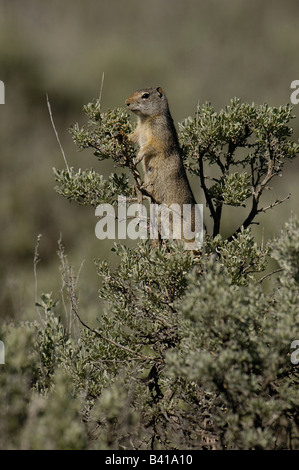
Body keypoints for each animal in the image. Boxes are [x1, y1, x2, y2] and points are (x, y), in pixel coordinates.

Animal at [125, 86, 200, 244]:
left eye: (145, 95)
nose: (126, 102)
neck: (145, 119)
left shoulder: (159, 134)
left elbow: (150, 146)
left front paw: (138, 157)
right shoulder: (138, 132)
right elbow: (131, 137)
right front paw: (119, 135)